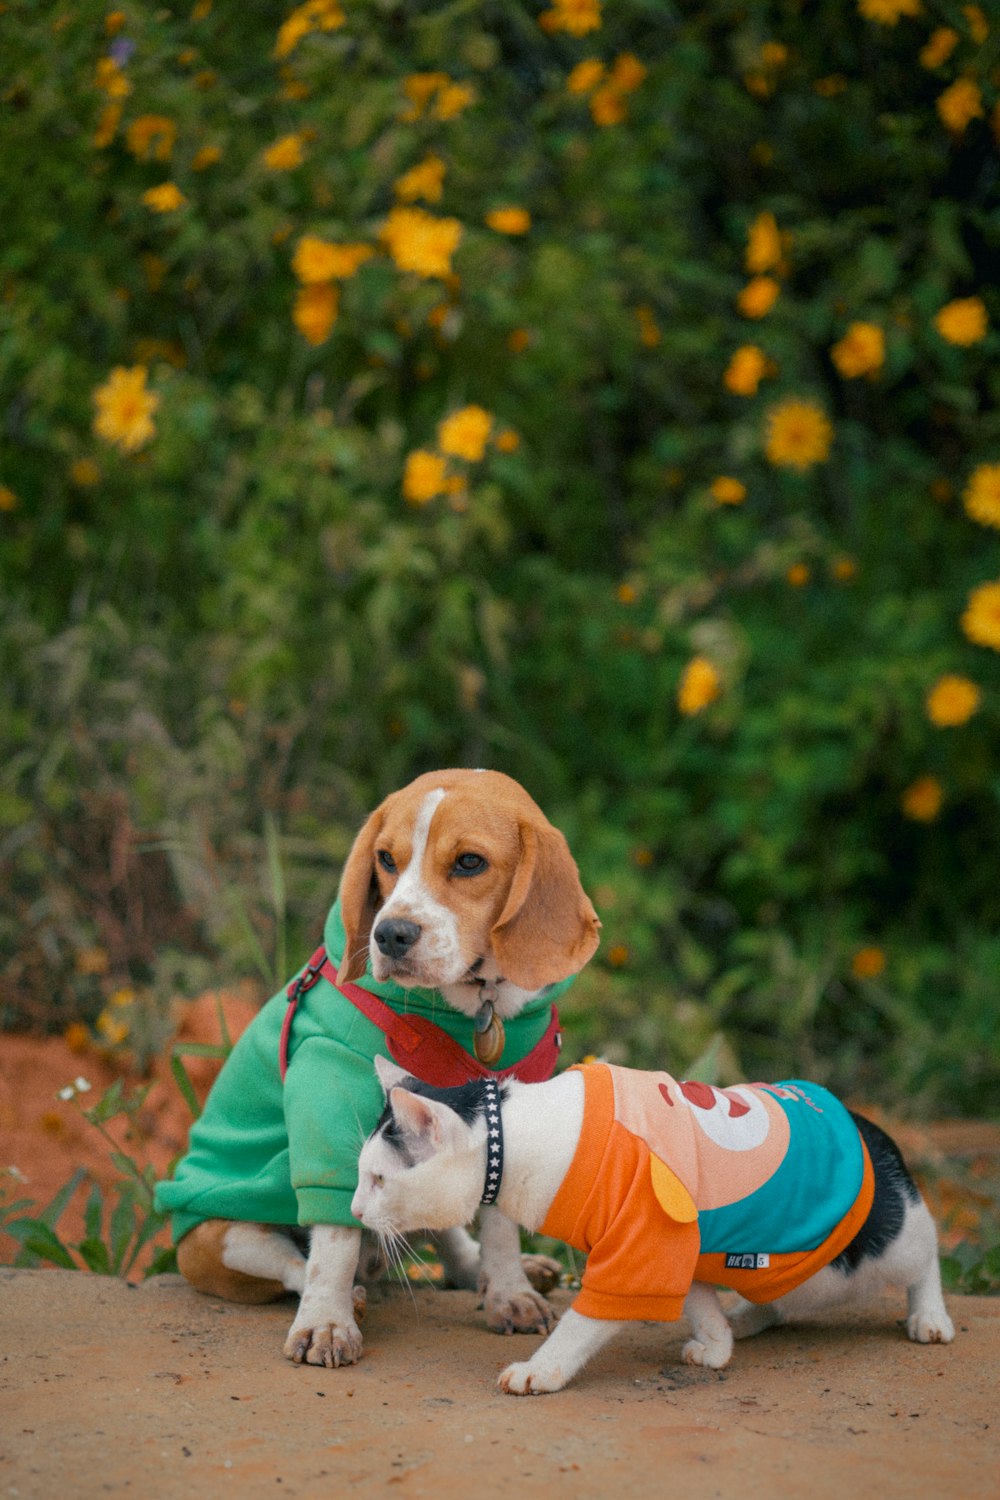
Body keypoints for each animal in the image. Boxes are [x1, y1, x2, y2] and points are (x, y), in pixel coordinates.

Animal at [159, 774, 599, 1374]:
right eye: (386, 859)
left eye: (469, 862)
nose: (390, 934)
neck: (473, 1005)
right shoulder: (329, 1082)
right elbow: (333, 1240)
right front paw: (327, 1323)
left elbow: (497, 1214)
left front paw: (510, 1290)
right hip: (215, 1242)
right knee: (296, 1263)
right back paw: (350, 1293)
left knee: (442, 1229)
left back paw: (481, 1274)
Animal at [352, 1056, 953, 1392]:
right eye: (363, 1176)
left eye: (378, 1179)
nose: (355, 1211)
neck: (526, 1134)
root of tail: (868, 1125)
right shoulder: (675, 1248)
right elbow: (696, 1301)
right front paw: (716, 1345)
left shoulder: (640, 1242)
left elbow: (582, 1323)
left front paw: (540, 1372)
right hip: (781, 1271)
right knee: (777, 1300)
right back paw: (746, 1319)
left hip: (874, 1249)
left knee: (927, 1252)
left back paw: (930, 1316)